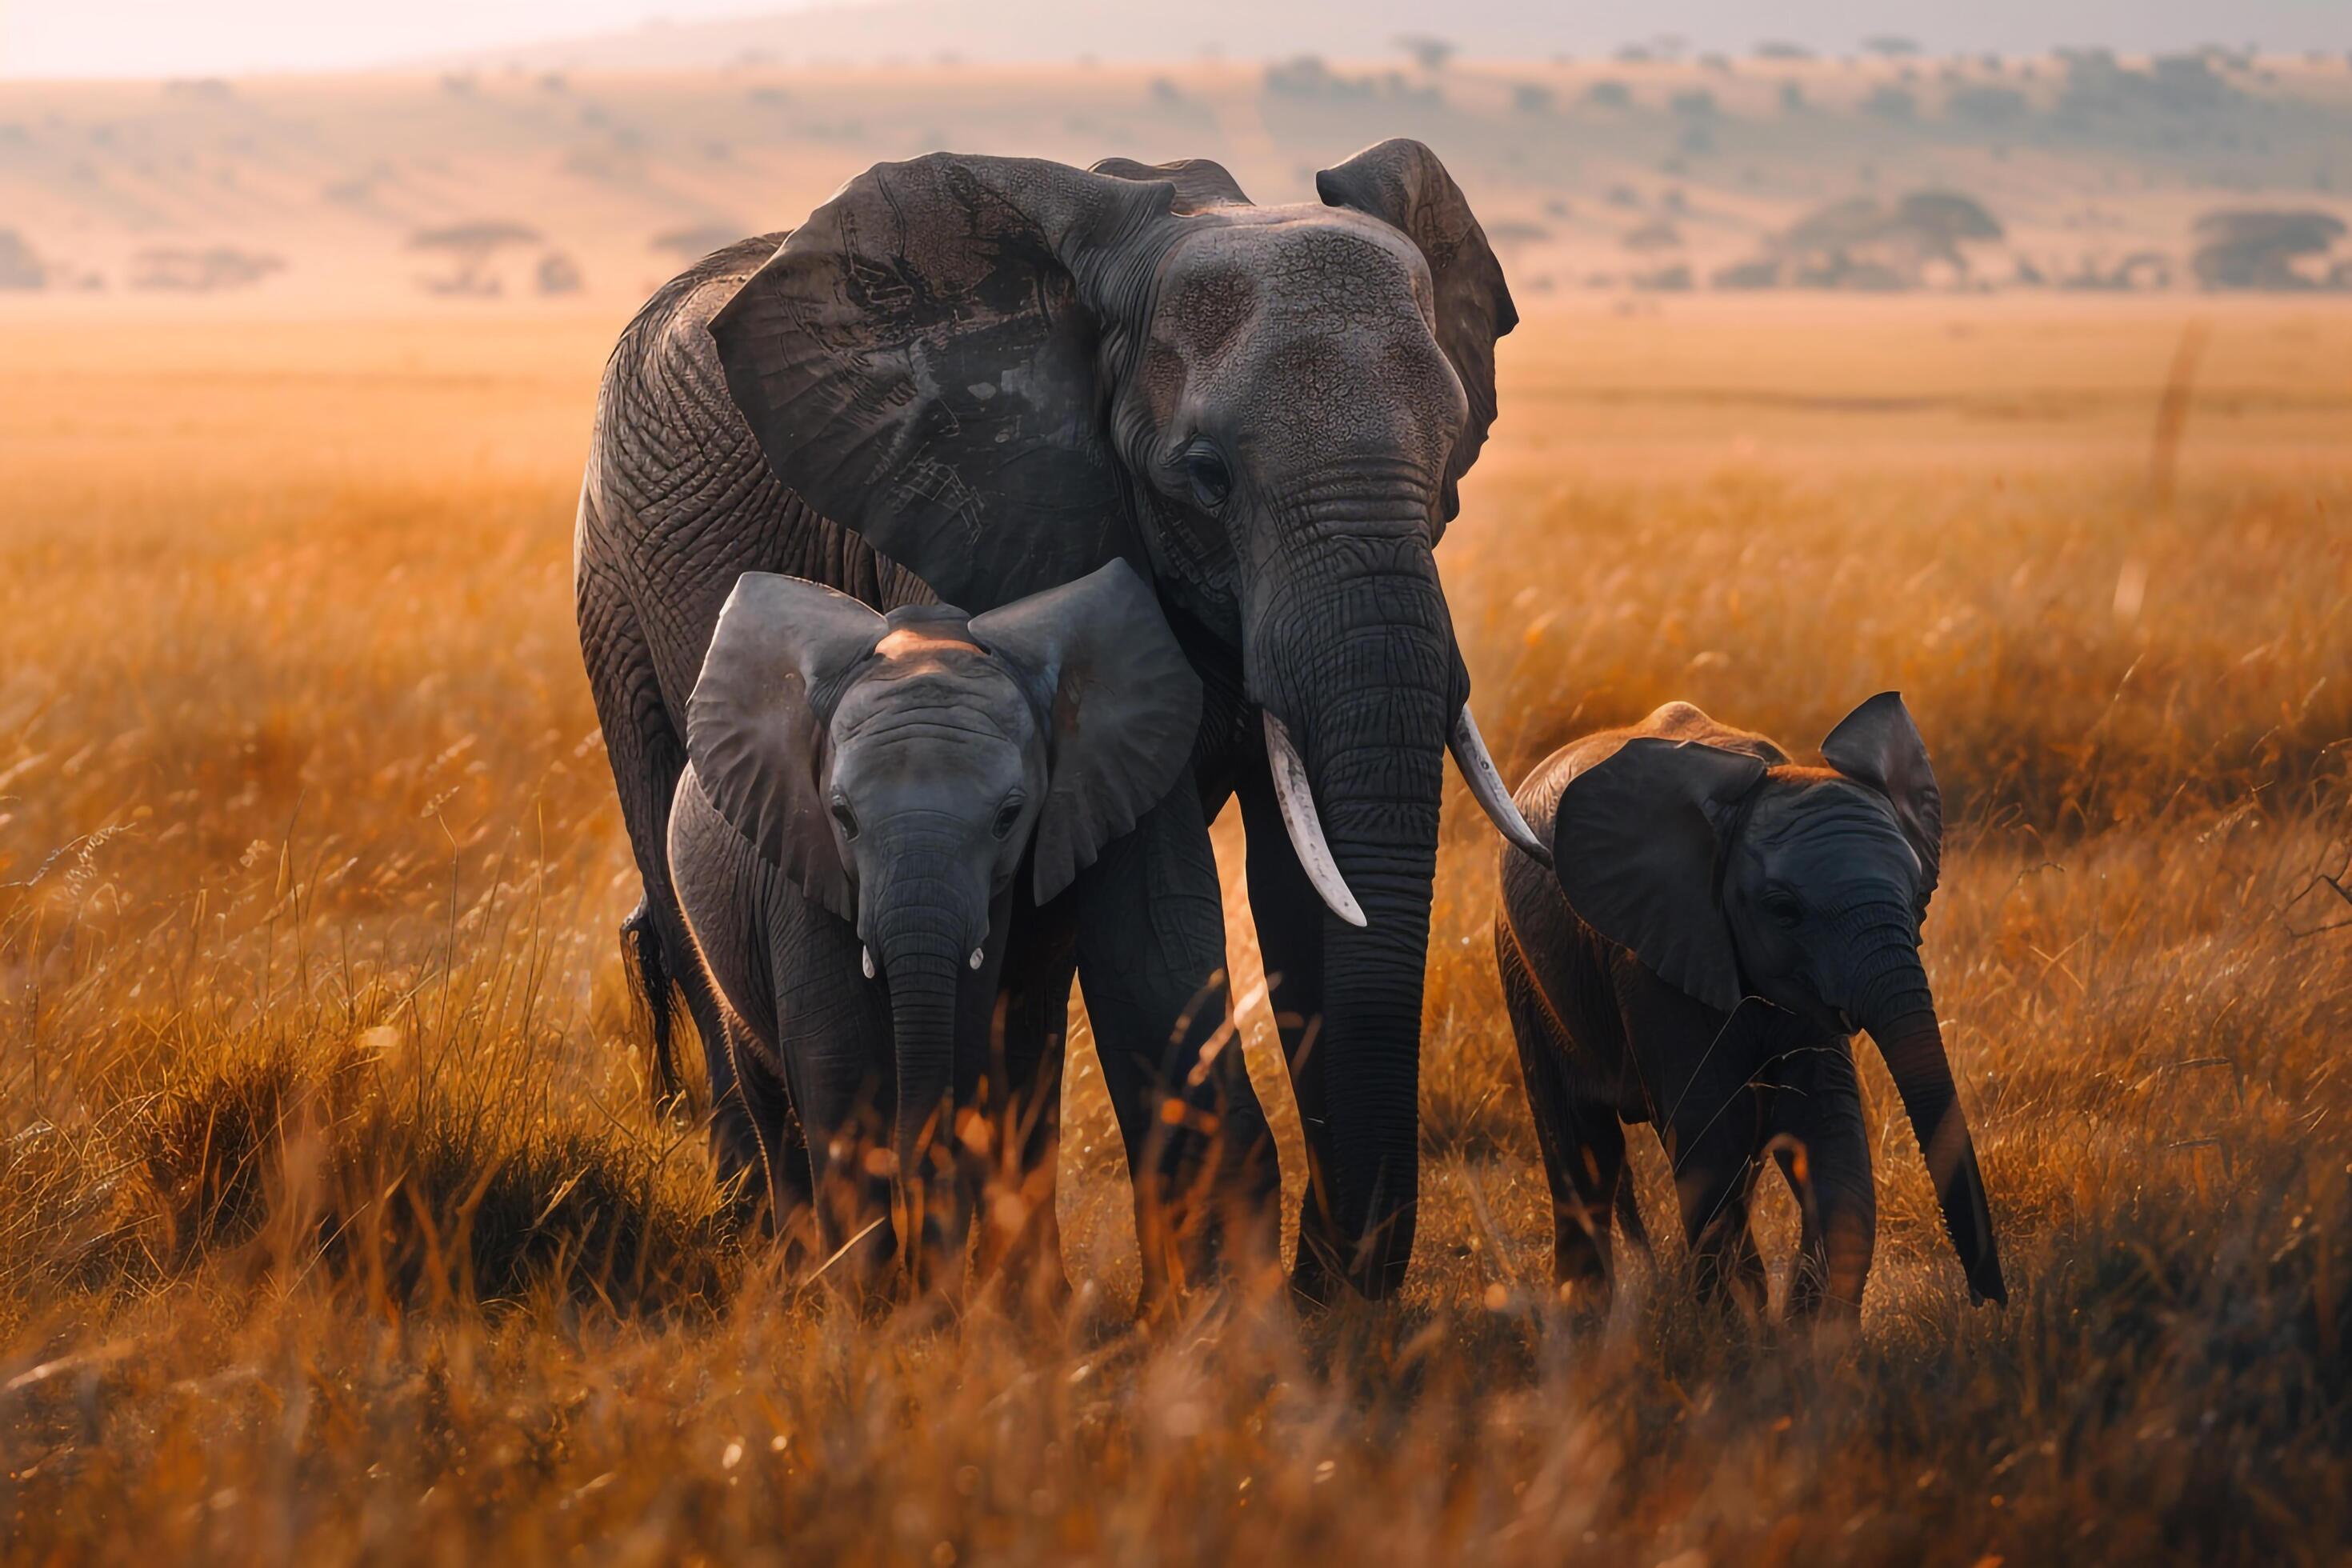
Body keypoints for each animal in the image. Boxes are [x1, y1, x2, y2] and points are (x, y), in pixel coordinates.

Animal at [672, 557, 1204, 1298]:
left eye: (1009, 818)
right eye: (843, 816)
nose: (919, 1275)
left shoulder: (992, 900)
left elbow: (961, 1048)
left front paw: (931, 1299)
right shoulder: (799, 866)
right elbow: (838, 1067)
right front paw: (862, 1301)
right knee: (768, 1094)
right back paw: (796, 1276)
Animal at [1505, 690, 2003, 1316]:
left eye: (1917, 898)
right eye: (1783, 910)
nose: (1987, 1297)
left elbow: (1829, 1135)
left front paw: (1804, 1336)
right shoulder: (1653, 958)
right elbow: (1713, 1137)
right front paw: (1733, 1327)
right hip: (1521, 969)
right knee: (1582, 1145)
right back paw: (1584, 1317)